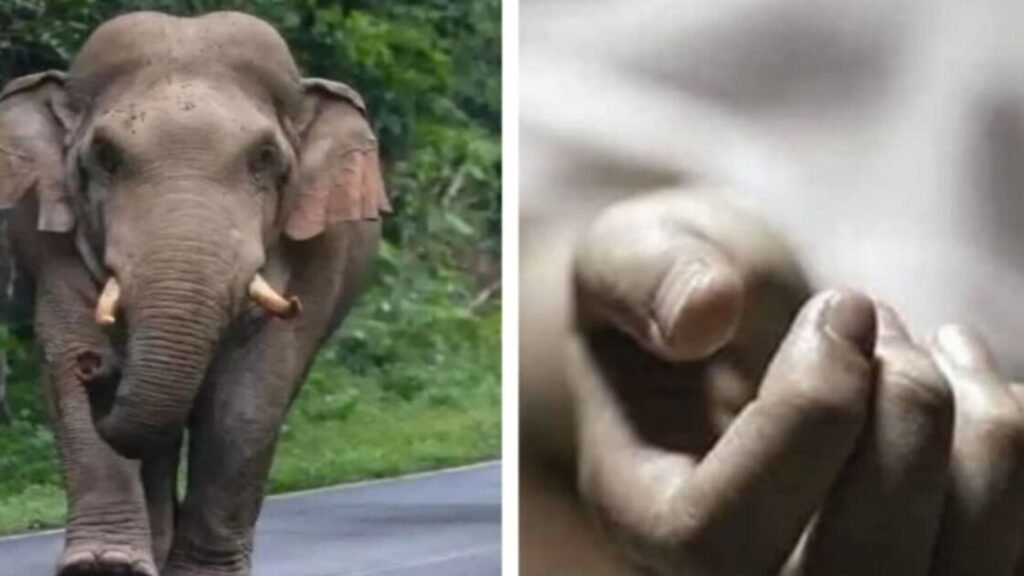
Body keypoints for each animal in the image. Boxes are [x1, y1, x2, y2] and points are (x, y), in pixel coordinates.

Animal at [0, 11, 389, 576]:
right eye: (105, 157)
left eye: (265, 157)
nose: (99, 368)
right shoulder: (43, 234)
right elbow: (67, 344)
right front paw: (105, 567)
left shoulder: (319, 252)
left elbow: (250, 395)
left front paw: (201, 573)